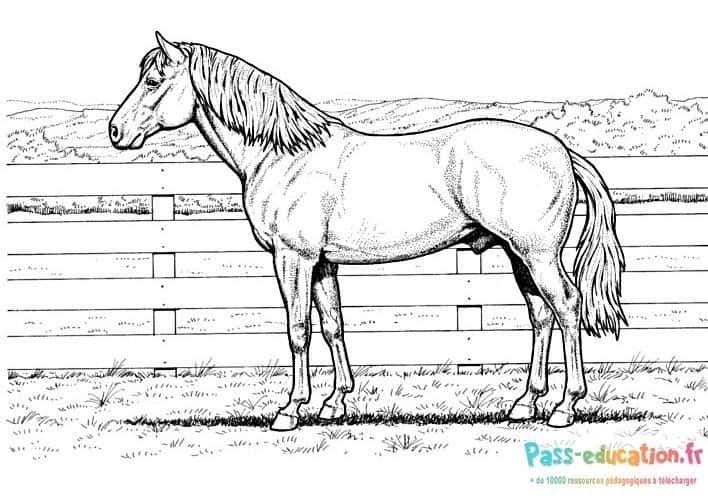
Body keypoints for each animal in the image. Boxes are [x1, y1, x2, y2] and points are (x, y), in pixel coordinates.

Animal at [110, 32, 626, 431]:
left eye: (153, 81)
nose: (116, 131)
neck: (284, 155)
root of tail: (561, 150)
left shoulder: (293, 258)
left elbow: (298, 330)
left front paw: (290, 410)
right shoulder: (322, 264)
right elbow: (332, 326)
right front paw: (334, 403)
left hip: (538, 254)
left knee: (567, 307)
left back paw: (564, 407)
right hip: (518, 255)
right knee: (541, 316)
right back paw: (524, 403)